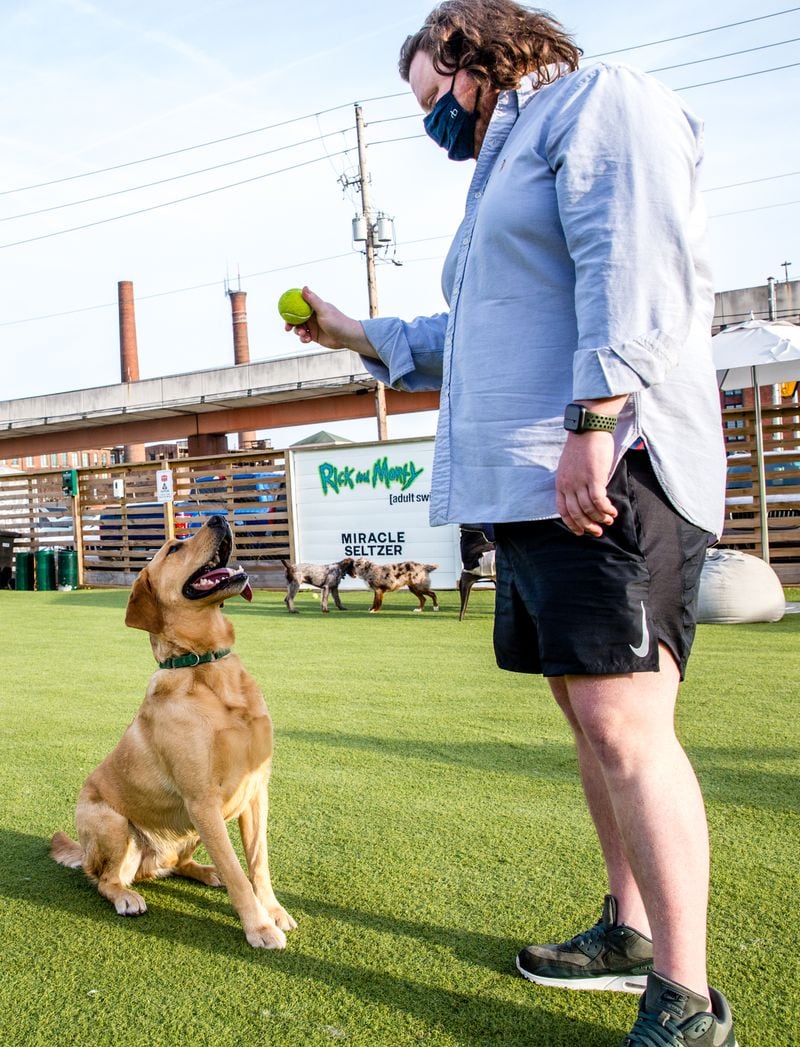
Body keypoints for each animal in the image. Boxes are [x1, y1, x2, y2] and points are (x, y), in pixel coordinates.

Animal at [52, 515, 297, 950]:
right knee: (104, 879)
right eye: (173, 549)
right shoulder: (202, 799)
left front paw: (273, 910)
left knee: (175, 864)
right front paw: (259, 927)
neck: (206, 665)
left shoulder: (256, 791)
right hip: (114, 823)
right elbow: (239, 873)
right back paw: (126, 896)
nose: (218, 516)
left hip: (190, 828)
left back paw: (204, 871)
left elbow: (256, 862)